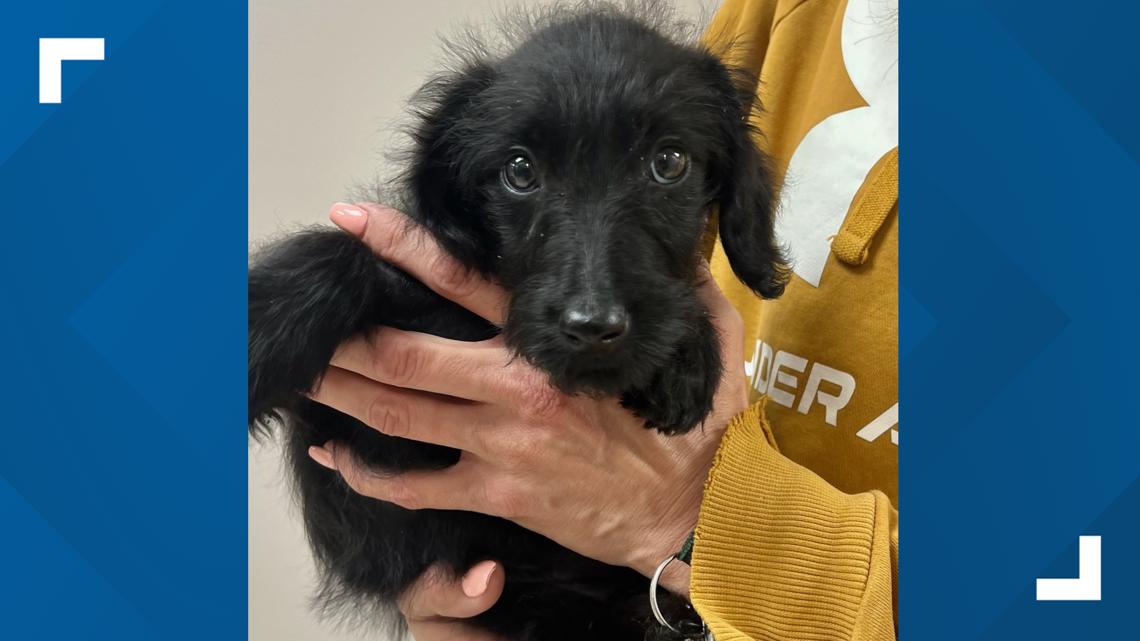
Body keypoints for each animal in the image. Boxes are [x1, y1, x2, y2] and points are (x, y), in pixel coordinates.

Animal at [249, 2, 784, 634]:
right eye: (521, 171)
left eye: (670, 161)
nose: (592, 326)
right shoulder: (368, 472)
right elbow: (355, 259)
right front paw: (260, 325)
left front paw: (686, 355)